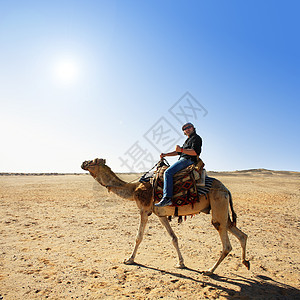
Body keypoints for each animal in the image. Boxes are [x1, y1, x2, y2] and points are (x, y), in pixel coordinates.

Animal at [81, 158, 250, 276]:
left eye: (94, 160)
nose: (83, 162)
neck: (134, 188)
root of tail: (226, 189)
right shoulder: (160, 214)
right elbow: (173, 238)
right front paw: (181, 263)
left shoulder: (144, 210)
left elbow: (138, 237)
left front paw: (129, 259)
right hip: (221, 209)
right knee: (240, 233)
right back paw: (245, 262)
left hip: (218, 203)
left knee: (225, 242)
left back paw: (209, 270)